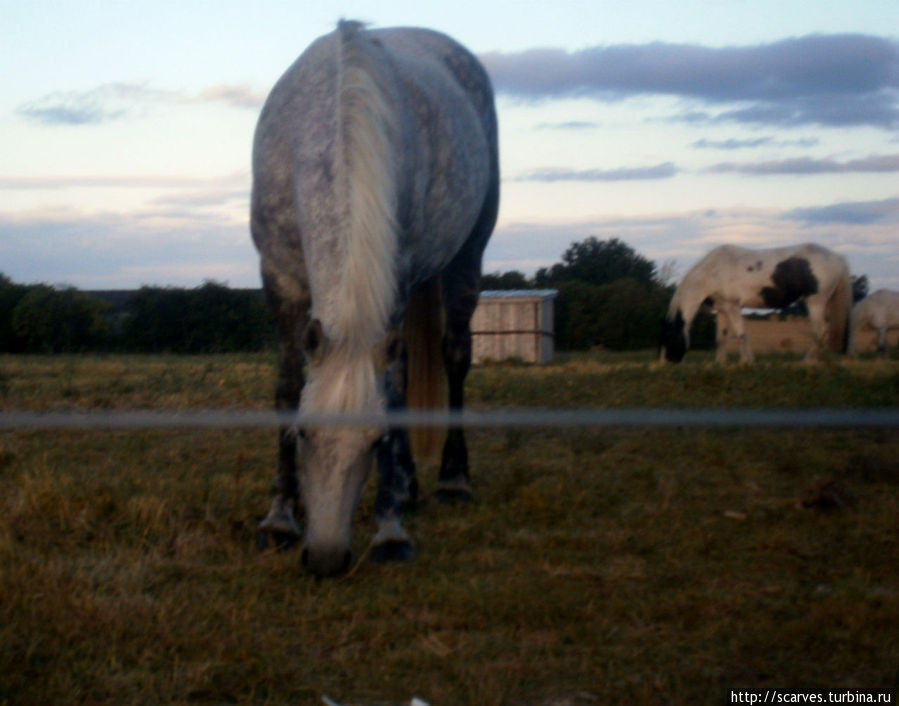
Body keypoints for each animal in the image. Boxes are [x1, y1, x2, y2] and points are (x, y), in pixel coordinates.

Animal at [250, 20, 500, 576]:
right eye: (303, 434)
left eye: (376, 439)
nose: (326, 559)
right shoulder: (279, 278)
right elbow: (286, 386)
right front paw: (280, 517)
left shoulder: (398, 280)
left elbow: (393, 391)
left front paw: (389, 531)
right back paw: (409, 486)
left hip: (465, 259)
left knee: (453, 357)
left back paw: (451, 480)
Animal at [660, 242, 852, 364]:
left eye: (669, 336)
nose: (665, 363)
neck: (711, 273)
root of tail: (838, 258)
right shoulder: (722, 309)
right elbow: (721, 338)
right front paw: (720, 363)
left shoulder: (732, 306)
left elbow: (741, 333)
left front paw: (746, 361)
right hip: (826, 303)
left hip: (816, 302)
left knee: (820, 330)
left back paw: (808, 361)